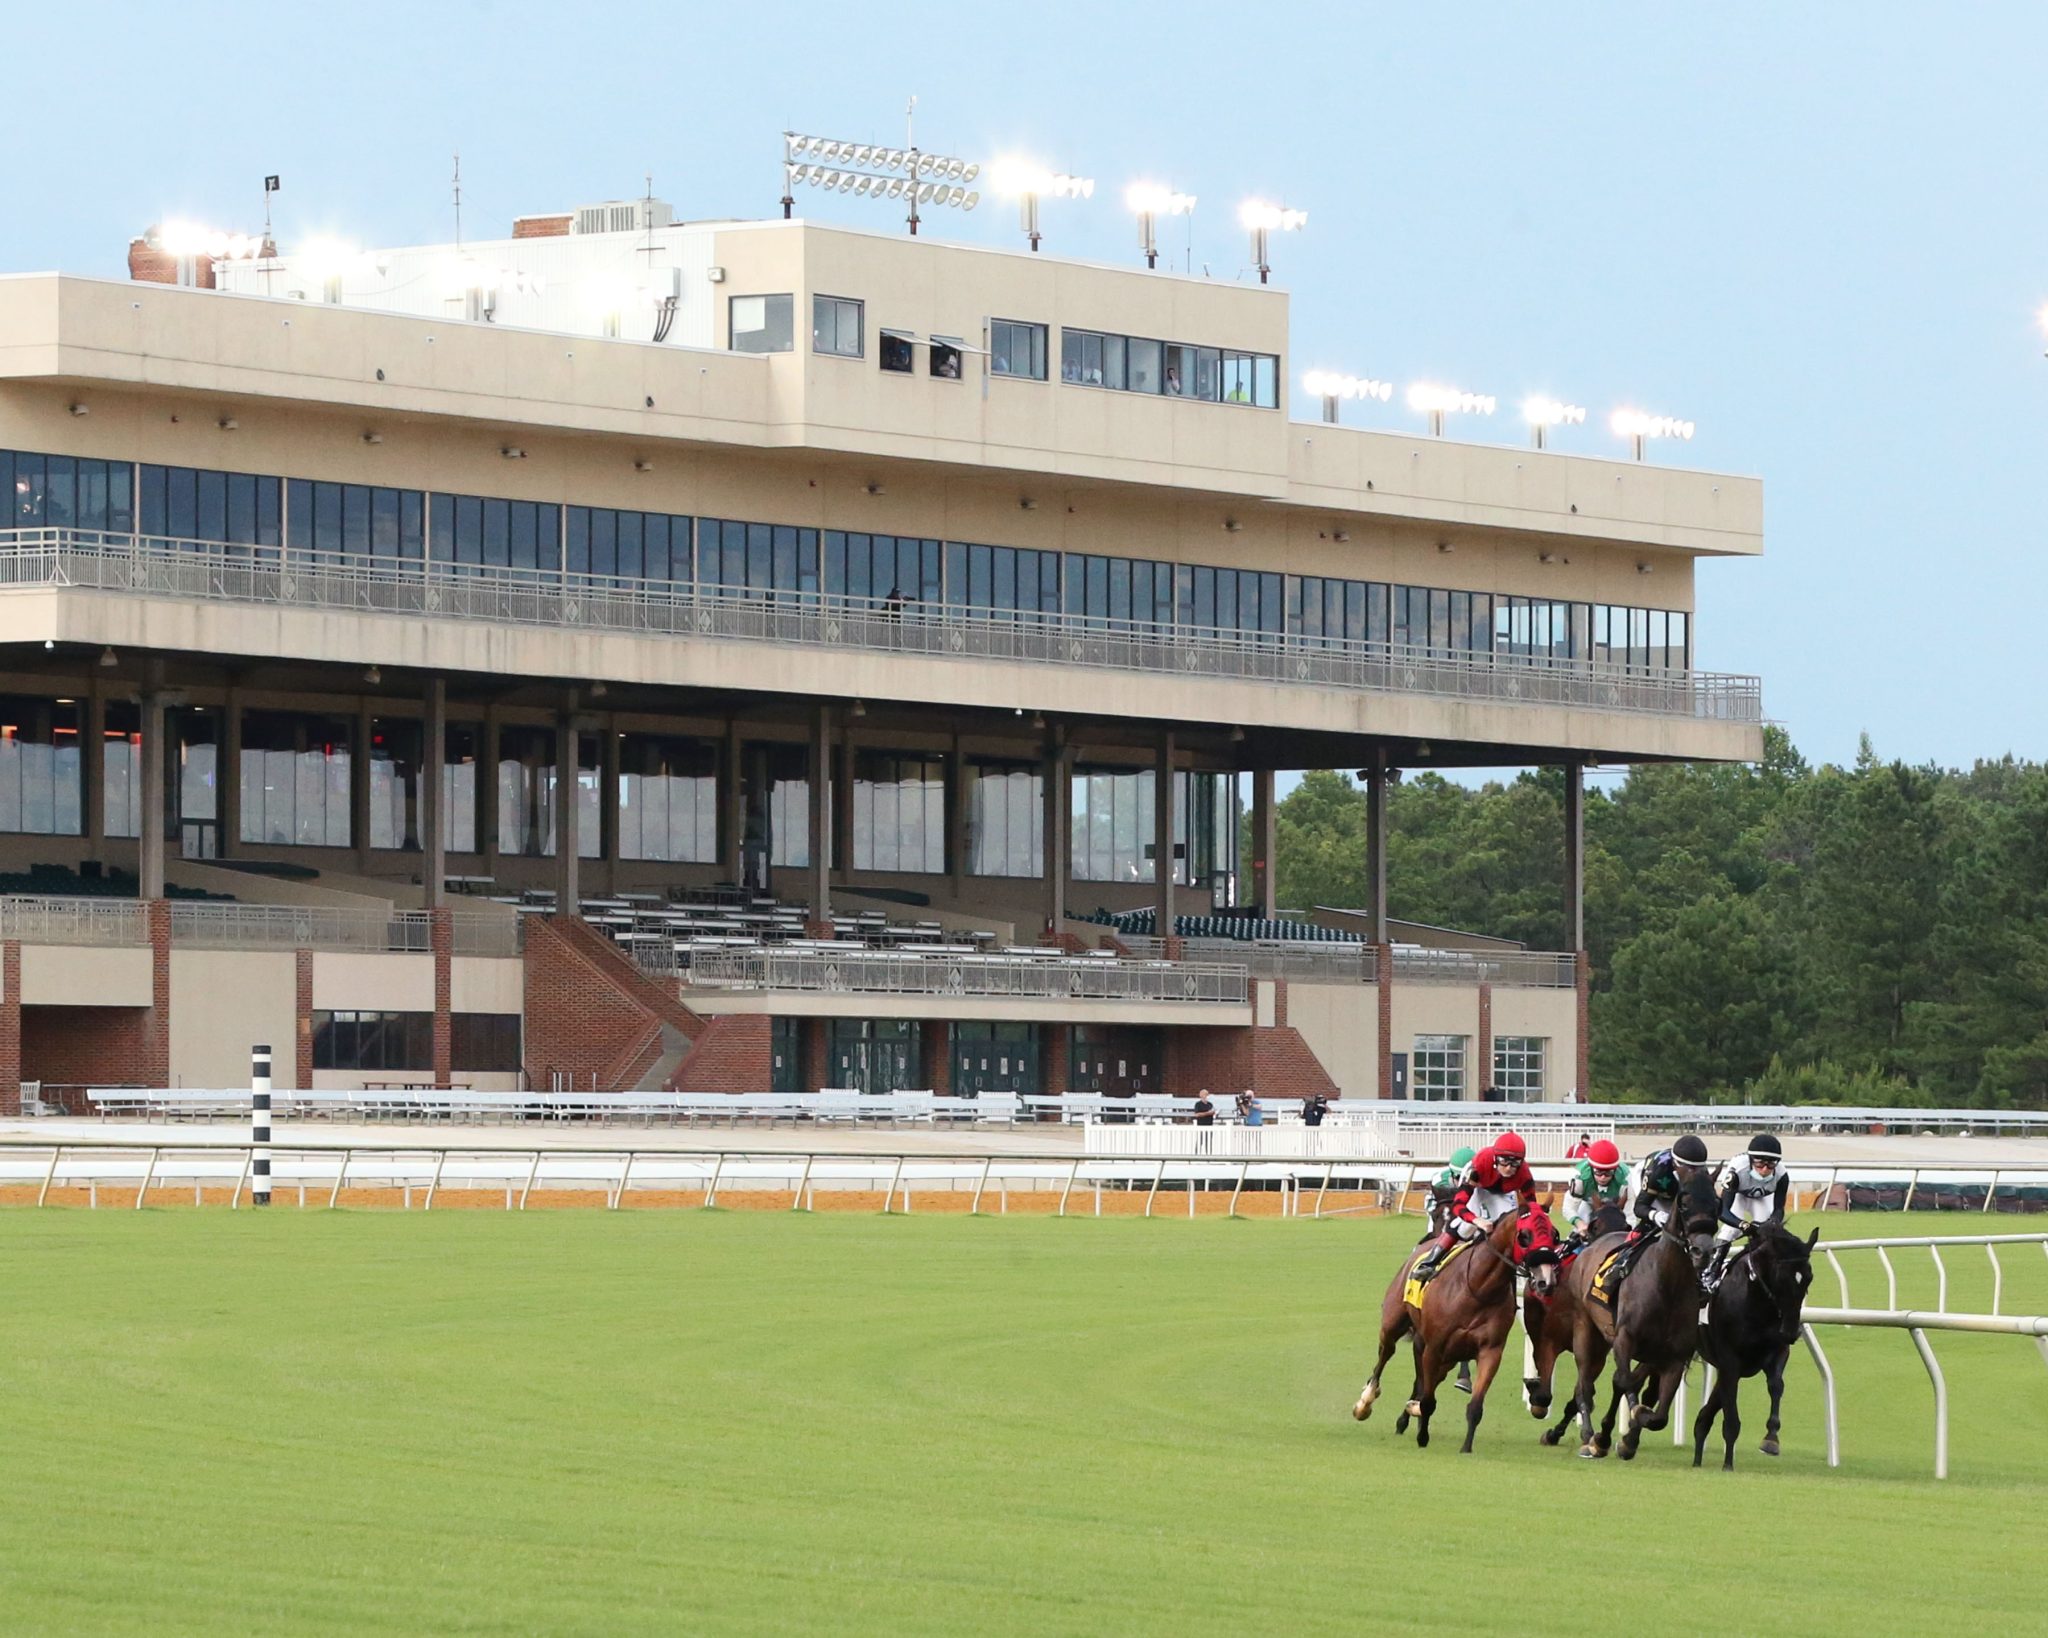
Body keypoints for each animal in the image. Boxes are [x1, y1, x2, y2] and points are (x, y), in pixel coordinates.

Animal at [1359, 1195, 1548, 1449]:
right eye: (1525, 1236)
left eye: (1554, 1234)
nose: (1545, 1279)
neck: (1478, 1288)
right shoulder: (1435, 1346)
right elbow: (1427, 1400)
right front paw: (1422, 1434)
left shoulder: (1489, 1350)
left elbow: (1473, 1405)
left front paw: (1466, 1446)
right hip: (1394, 1324)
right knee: (1385, 1356)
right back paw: (1365, 1403)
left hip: (1440, 1354)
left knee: (1423, 1381)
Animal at [1687, 1212, 1818, 1474]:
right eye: (1782, 1277)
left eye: (1808, 1277)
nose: (1792, 1331)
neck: (1756, 1302)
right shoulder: (1729, 1359)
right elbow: (1730, 1413)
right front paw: (1728, 1463)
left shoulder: (1776, 1352)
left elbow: (1776, 1386)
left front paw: (1771, 1439)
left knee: (1705, 1415)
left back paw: (1696, 1457)